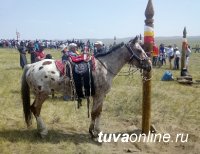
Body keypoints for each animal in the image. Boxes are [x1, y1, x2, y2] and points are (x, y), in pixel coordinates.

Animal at [20, 36, 152, 138]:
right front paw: (95, 133)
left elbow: (97, 112)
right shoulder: (100, 95)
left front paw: (93, 130)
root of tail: (31, 66)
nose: (149, 65)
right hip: (42, 93)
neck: (105, 66)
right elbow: (96, 112)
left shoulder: (98, 95)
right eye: (139, 50)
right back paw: (43, 131)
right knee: (35, 109)